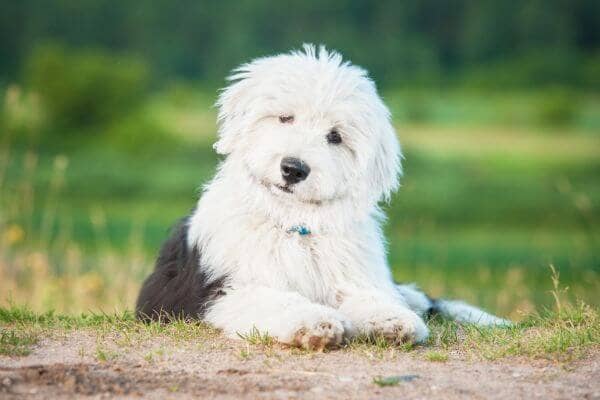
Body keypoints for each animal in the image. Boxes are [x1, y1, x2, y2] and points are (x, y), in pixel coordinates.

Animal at [135, 44, 506, 350]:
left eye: (335, 136)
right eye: (285, 117)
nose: (293, 169)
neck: (295, 224)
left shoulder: (353, 275)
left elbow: (369, 296)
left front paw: (390, 320)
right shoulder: (225, 289)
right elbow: (275, 301)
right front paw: (315, 322)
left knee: (422, 298)